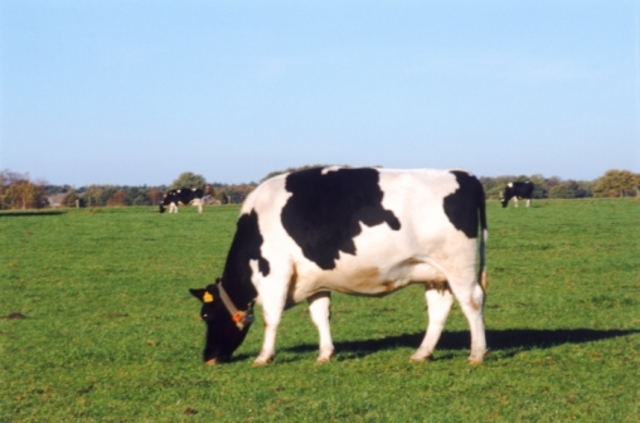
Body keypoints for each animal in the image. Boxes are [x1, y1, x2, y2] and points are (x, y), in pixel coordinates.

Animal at [190, 167, 488, 366]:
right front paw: (325, 354)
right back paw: (421, 353)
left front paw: (264, 357)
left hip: (459, 265)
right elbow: (320, 315)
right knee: (440, 308)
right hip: (435, 273)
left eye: (206, 315)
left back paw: (477, 353)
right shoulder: (314, 280)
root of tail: (464, 175)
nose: (207, 356)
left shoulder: (275, 272)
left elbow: (270, 317)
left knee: (472, 301)